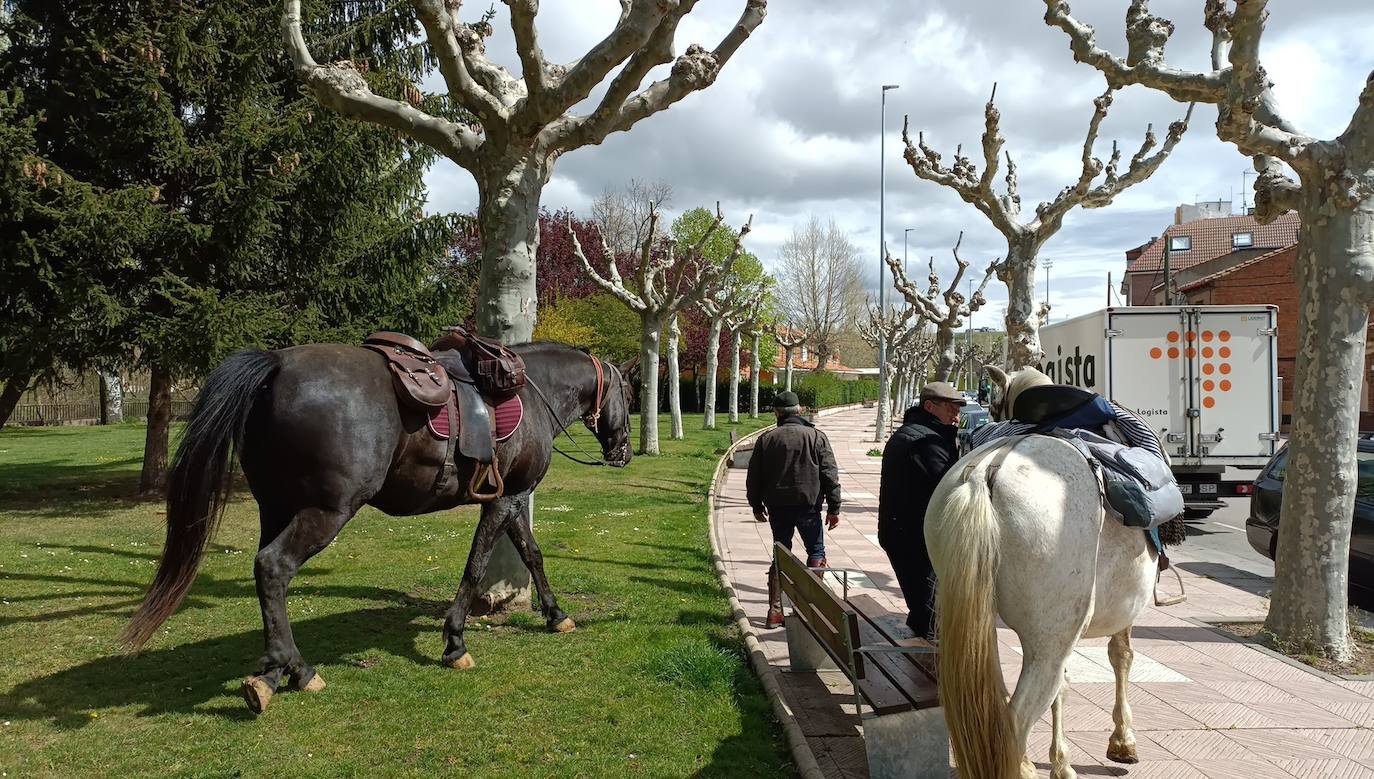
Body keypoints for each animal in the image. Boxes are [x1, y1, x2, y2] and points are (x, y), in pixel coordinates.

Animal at [120, 340, 629, 714]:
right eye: (628, 392)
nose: (623, 450)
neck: (532, 391)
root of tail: (276, 365)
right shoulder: (505, 499)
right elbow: (476, 565)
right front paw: (455, 641)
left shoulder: (515, 498)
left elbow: (531, 554)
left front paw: (556, 614)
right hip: (327, 511)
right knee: (273, 567)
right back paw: (294, 670)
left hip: (276, 508)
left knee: (267, 578)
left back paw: (276, 672)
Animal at [934, 368, 1159, 779]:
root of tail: (985, 475)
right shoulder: (1120, 610)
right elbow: (1121, 656)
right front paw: (1122, 741)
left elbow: (1066, 686)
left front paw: (1061, 761)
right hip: (1048, 641)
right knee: (1014, 720)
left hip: (979, 624)